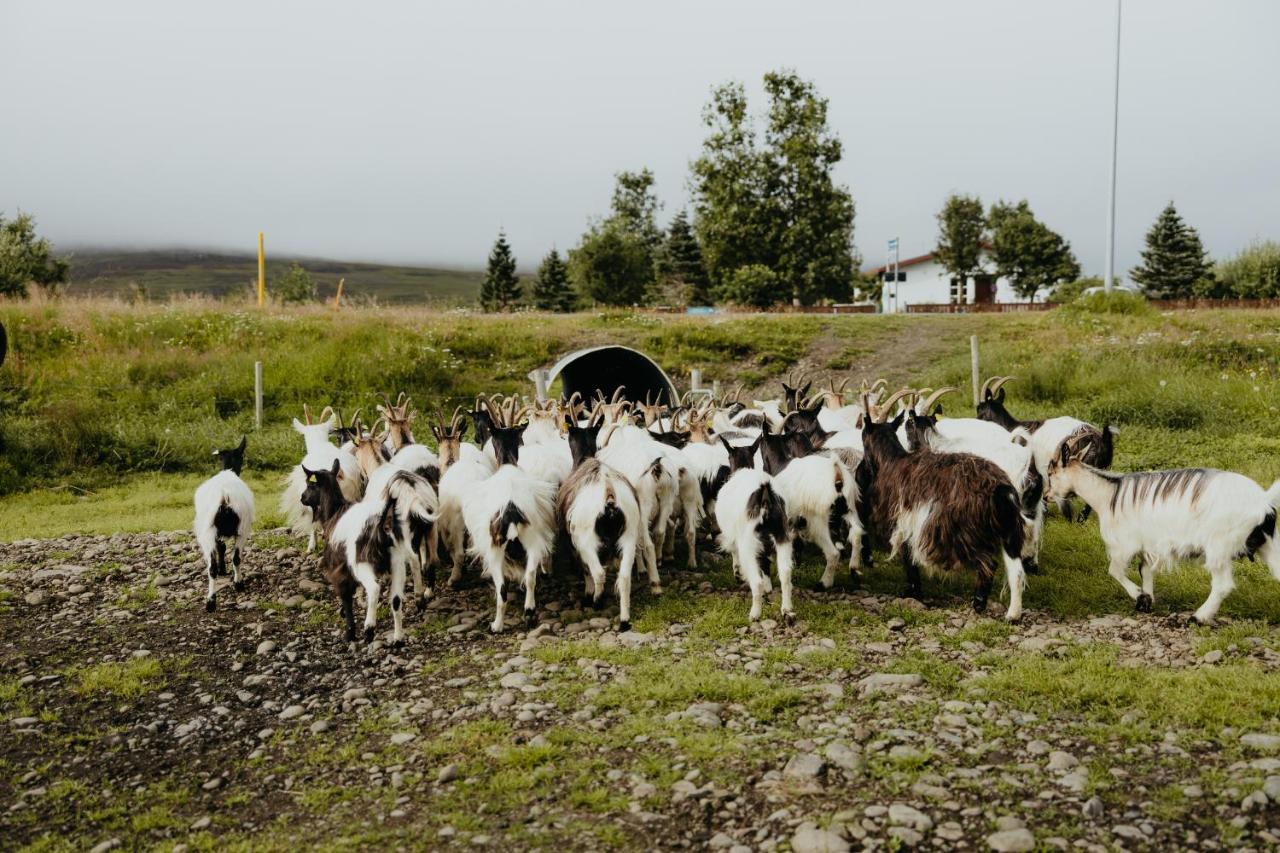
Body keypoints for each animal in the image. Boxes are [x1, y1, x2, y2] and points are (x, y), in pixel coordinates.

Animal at [193, 435, 253, 607]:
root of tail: (224, 496)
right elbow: (224, 548)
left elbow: (221, 547)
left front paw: (222, 569)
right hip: (241, 529)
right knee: (236, 558)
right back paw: (238, 584)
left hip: (208, 532)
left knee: (211, 568)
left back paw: (211, 601)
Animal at [860, 402, 1029, 614]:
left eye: (862, 435)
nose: (861, 467)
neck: (891, 461)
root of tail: (1001, 489)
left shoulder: (903, 521)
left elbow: (908, 557)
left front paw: (912, 592)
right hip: (1008, 531)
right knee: (1016, 571)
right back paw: (1012, 614)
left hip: (961, 533)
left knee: (989, 563)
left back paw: (979, 603)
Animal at [1044, 448, 1274, 622]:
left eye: (1051, 473)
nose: (1045, 496)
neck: (1107, 496)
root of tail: (1263, 502)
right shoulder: (1147, 546)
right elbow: (1145, 571)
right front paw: (1146, 601)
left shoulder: (1124, 545)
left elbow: (1114, 571)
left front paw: (1140, 596)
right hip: (1268, 545)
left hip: (1219, 547)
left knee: (1222, 585)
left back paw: (1199, 617)